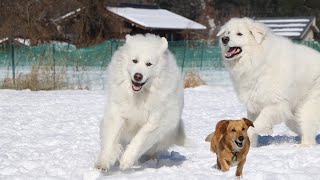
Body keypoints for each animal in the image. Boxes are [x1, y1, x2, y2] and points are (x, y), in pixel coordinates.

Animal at [95, 33, 185, 170]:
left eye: (149, 64)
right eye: (134, 61)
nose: (138, 76)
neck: (139, 95)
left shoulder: (155, 121)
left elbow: (140, 139)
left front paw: (127, 160)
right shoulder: (118, 113)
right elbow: (112, 138)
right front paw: (104, 162)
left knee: (153, 151)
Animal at [219, 17, 320, 146]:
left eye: (239, 34)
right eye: (227, 33)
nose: (224, 39)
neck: (257, 59)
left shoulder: (275, 104)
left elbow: (255, 125)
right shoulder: (254, 104)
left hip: (308, 107)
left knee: (308, 130)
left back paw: (304, 146)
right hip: (293, 114)